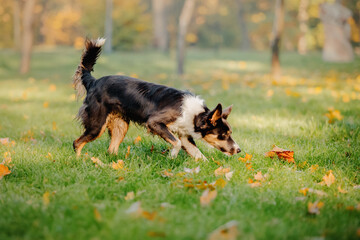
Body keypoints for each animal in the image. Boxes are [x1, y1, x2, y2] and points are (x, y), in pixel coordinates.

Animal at [71, 38, 240, 160]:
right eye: (223, 135)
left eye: (230, 133)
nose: (238, 150)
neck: (195, 115)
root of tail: (93, 81)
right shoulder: (155, 122)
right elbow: (176, 143)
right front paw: (172, 157)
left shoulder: (185, 135)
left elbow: (199, 155)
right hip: (97, 126)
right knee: (77, 143)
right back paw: (80, 161)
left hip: (121, 126)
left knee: (111, 150)